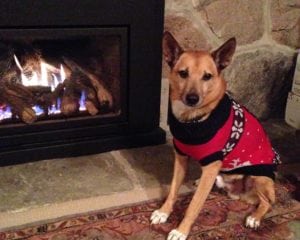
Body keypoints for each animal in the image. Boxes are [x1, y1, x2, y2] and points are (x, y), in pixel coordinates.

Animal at [151, 32, 280, 240]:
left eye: (207, 76)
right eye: (183, 73)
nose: (192, 99)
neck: (194, 119)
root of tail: (236, 193)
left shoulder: (211, 165)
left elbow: (194, 205)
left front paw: (181, 230)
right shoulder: (180, 157)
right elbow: (172, 189)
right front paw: (164, 212)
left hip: (258, 177)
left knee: (267, 202)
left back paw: (255, 218)